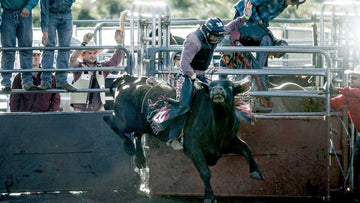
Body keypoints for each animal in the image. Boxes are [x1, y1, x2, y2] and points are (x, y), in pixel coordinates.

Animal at [104, 74, 264, 203]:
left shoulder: (229, 140)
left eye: (229, 86)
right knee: (110, 120)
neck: (217, 123)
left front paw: (256, 171)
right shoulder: (192, 147)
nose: (217, 91)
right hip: (125, 121)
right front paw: (209, 196)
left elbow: (246, 148)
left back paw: (140, 159)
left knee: (137, 134)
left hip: (141, 124)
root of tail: (128, 79)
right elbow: (205, 172)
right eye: (211, 87)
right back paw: (128, 146)